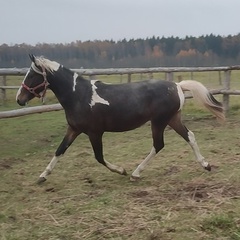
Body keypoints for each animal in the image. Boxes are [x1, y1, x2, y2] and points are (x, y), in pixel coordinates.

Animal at [15, 54, 224, 184]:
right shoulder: (73, 129)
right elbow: (60, 150)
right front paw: (42, 176)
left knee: (159, 145)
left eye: (32, 75)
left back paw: (135, 173)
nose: (19, 99)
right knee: (190, 137)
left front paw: (121, 170)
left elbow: (99, 157)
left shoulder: (94, 132)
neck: (78, 95)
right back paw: (206, 165)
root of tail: (177, 85)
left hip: (159, 122)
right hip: (172, 119)